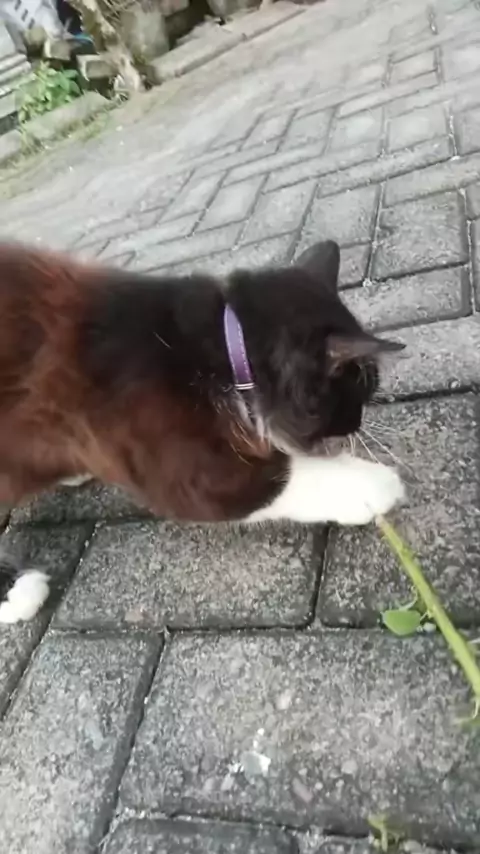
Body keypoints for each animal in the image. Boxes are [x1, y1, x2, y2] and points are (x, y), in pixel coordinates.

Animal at [0, 238, 405, 624]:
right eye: (362, 389)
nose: (359, 424)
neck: (221, 353)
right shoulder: (170, 455)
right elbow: (273, 481)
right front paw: (372, 484)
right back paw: (16, 593)